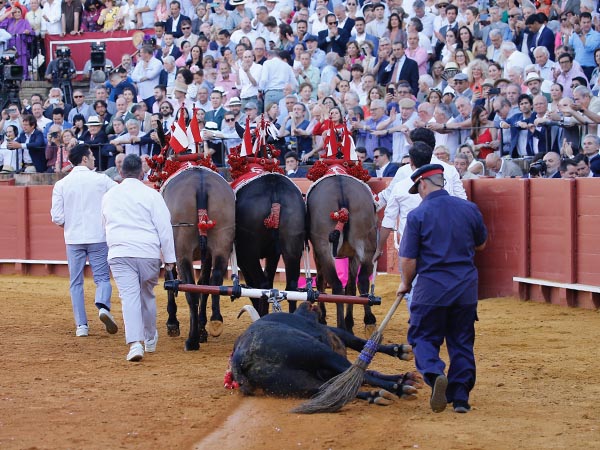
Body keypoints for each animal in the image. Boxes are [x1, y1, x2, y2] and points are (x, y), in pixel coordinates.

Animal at [161, 166, 236, 352]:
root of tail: (201, 184)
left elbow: (170, 279)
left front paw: (172, 323)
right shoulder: (207, 255)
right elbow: (204, 283)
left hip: (183, 251)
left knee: (190, 291)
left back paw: (192, 339)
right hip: (221, 243)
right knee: (214, 282)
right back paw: (214, 321)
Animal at [234, 172, 308, 316]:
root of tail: (274, 185)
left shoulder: (243, 259)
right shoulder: (273, 255)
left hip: (249, 254)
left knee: (262, 285)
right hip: (292, 247)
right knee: (291, 286)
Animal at [308, 175, 378, 334]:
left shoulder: (317, 255)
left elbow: (321, 282)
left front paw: (322, 317)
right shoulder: (353, 255)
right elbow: (351, 287)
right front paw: (350, 321)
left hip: (325, 251)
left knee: (336, 285)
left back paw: (341, 326)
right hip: (368, 247)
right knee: (362, 280)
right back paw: (368, 320)